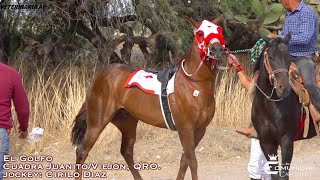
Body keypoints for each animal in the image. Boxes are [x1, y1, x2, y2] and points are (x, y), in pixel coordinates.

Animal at [70, 17, 225, 180]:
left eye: (219, 30)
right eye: (201, 33)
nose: (217, 49)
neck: (193, 85)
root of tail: (100, 75)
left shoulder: (200, 130)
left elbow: (185, 160)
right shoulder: (186, 128)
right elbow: (192, 162)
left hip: (127, 122)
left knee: (126, 151)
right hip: (97, 122)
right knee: (82, 151)